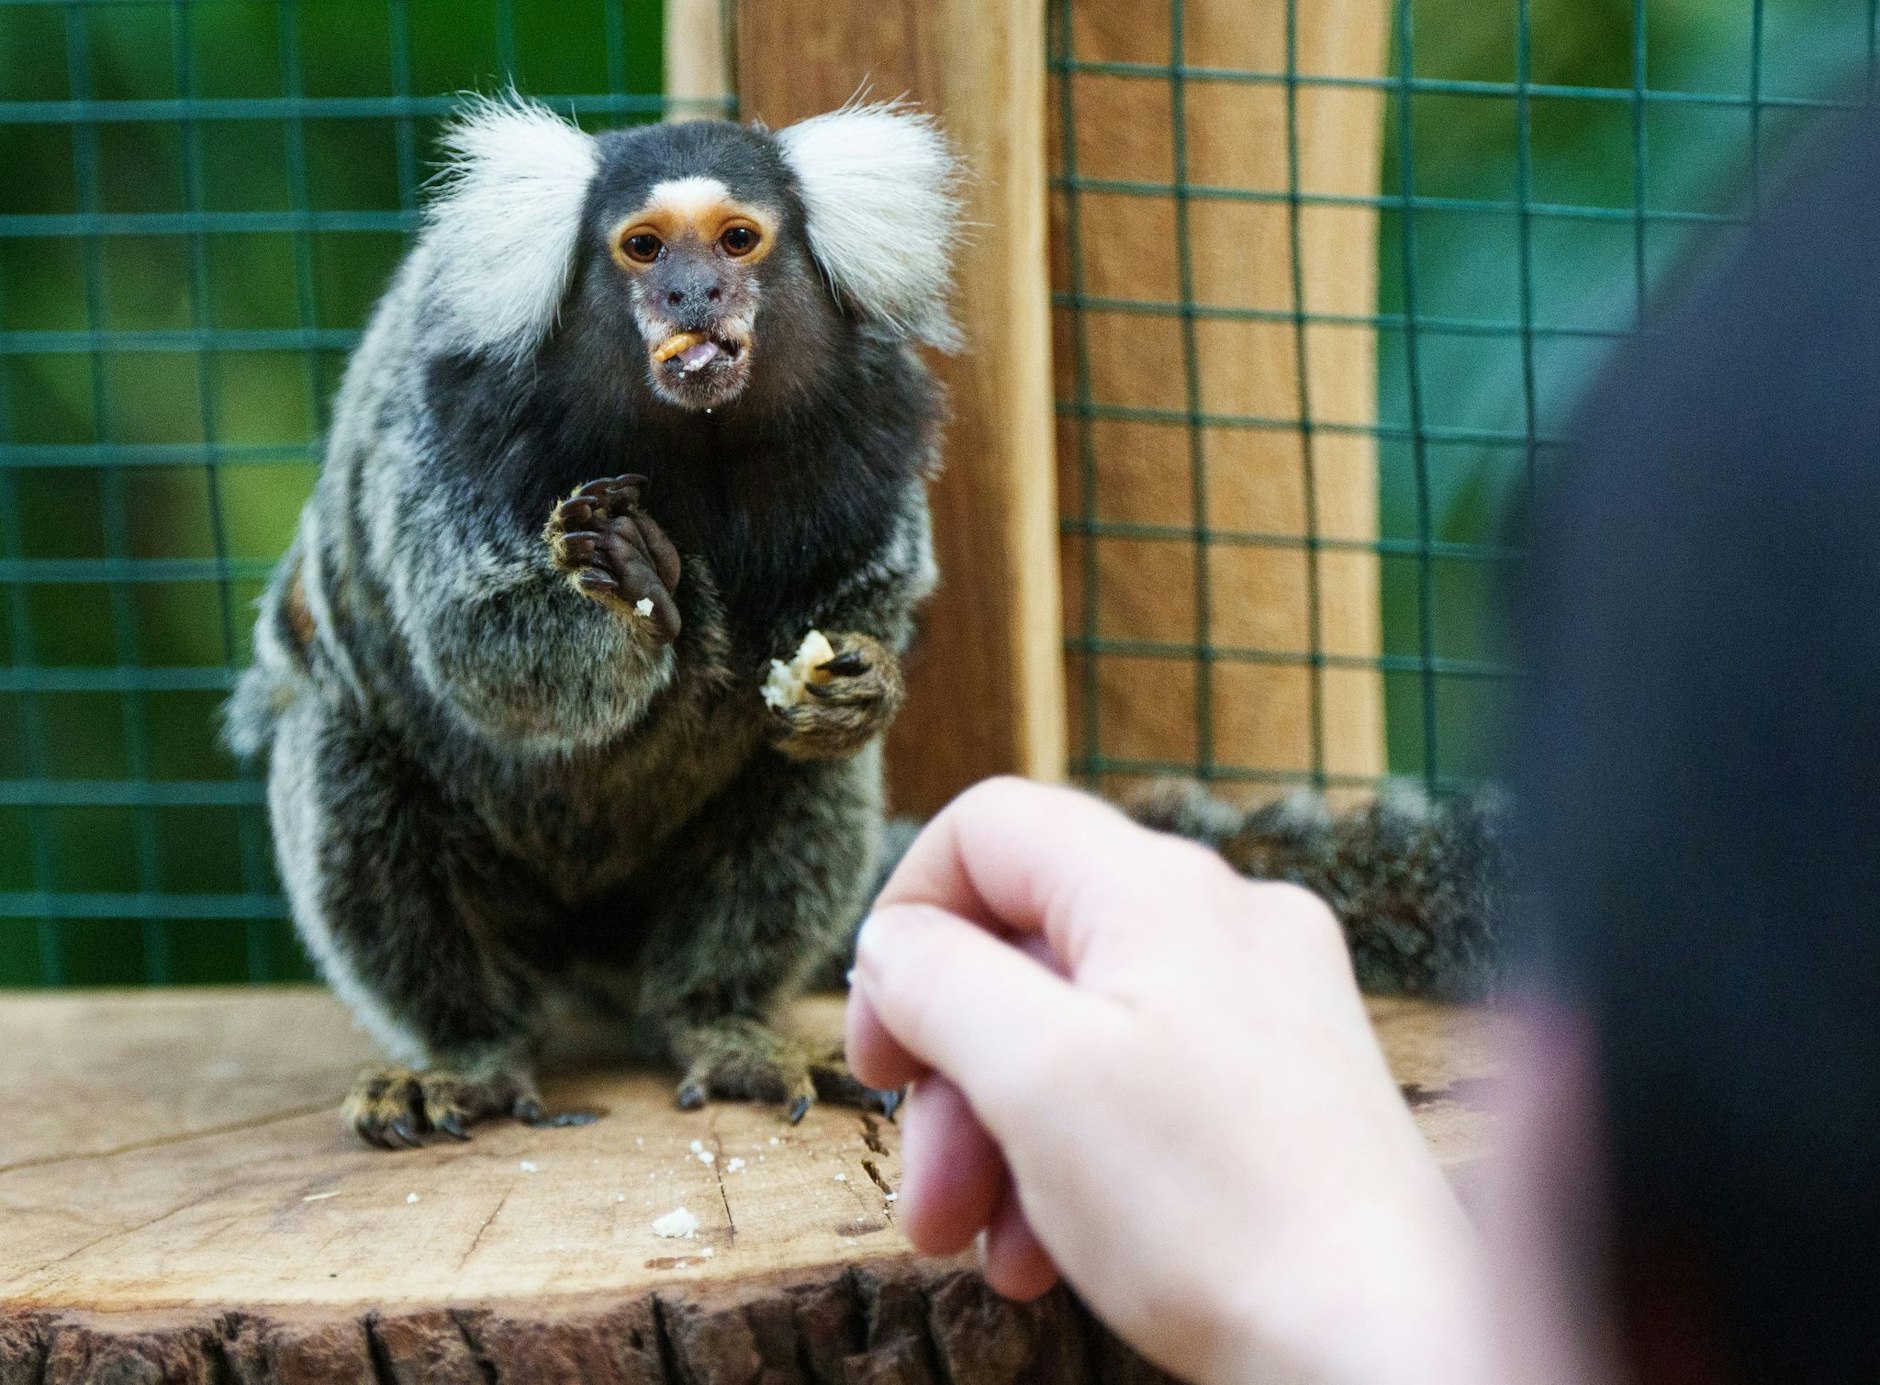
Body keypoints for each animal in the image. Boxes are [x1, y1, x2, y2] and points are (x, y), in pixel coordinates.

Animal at [224, 96, 961, 1147]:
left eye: (737, 240)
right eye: (644, 247)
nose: (694, 295)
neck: (693, 442)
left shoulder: (873, 423)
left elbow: (877, 596)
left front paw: (863, 685)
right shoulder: (458, 422)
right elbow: (473, 644)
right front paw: (641, 595)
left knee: (803, 778)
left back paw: (719, 1022)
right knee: (345, 749)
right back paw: (468, 1053)